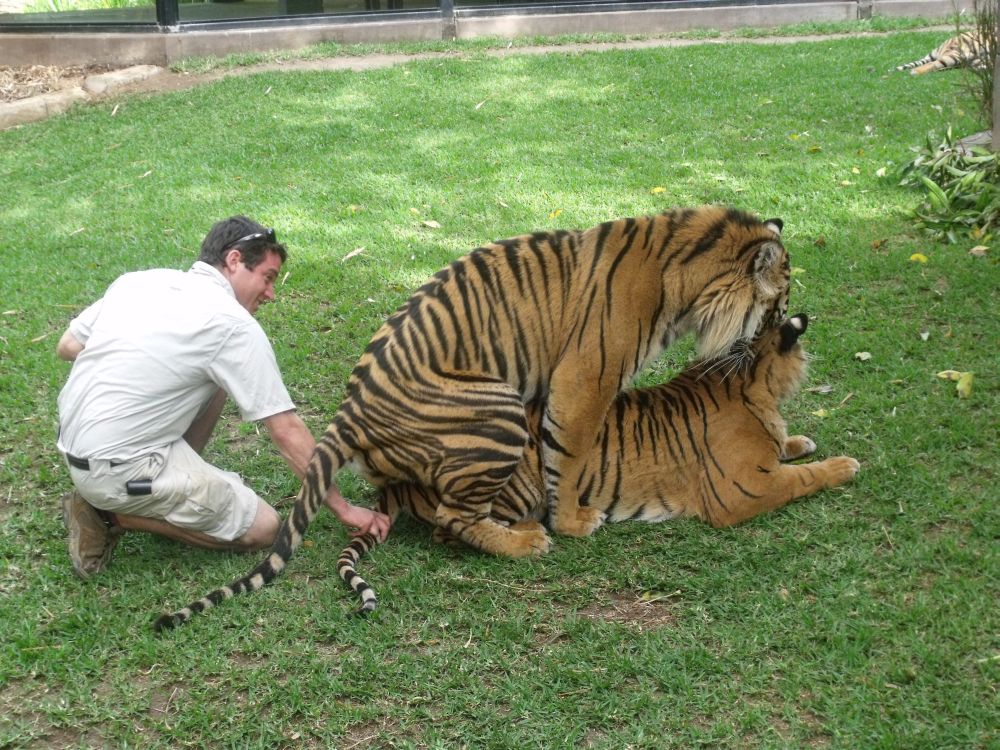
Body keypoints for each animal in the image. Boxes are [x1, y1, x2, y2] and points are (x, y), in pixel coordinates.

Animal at [153, 205, 791, 631]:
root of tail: (349, 414)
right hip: (498, 409)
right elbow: (571, 453)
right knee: (453, 517)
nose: (785, 329)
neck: (684, 275)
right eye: (779, 302)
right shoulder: (584, 378)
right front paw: (573, 520)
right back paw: (527, 541)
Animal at [338, 313, 860, 614]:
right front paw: (843, 465)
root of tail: (400, 481)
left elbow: (789, 450)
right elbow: (800, 479)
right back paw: (530, 538)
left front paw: (799, 439)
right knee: (454, 527)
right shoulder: (741, 491)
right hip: (518, 474)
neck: (749, 382)